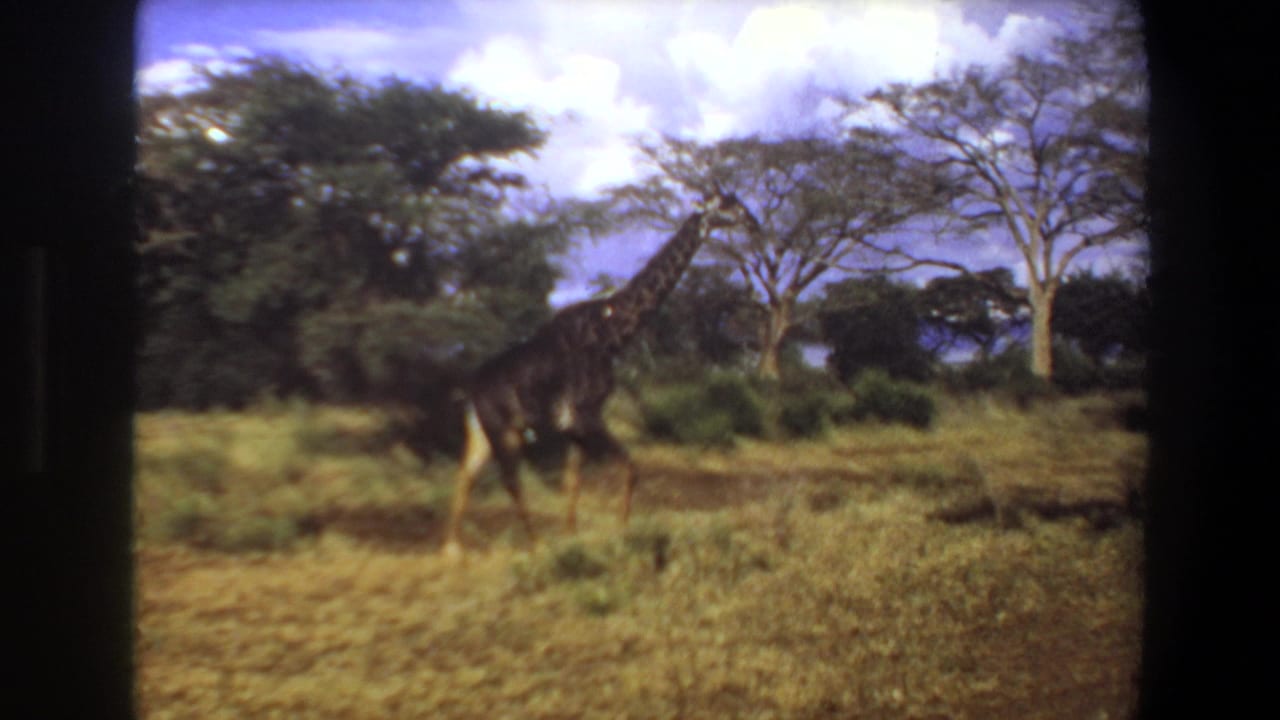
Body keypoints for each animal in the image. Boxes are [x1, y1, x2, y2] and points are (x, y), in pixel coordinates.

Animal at [441, 192, 758, 556]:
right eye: (725, 205)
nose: (753, 221)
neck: (612, 332)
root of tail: (469, 390)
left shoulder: (574, 424)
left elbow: (573, 480)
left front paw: (571, 535)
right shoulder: (586, 416)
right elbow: (631, 468)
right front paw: (623, 532)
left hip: (482, 431)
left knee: (465, 474)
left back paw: (452, 548)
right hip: (504, 430)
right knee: (509, 481)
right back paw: (535, 545)